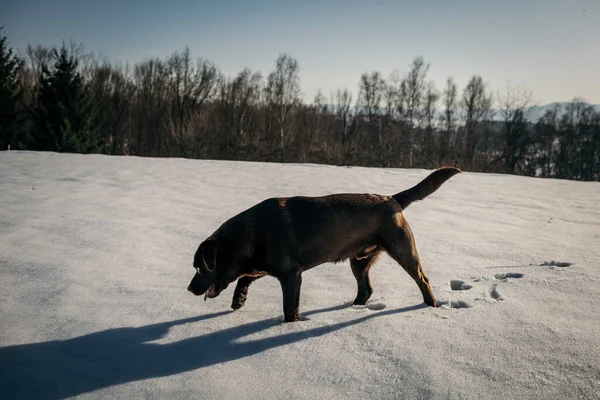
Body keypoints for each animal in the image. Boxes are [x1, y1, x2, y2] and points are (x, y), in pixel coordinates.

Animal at [188, 166, 460, 322]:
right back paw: (353, 308)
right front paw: (239, 299)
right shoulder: (264, 266)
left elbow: (290, 308)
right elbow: (245, 278)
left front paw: (289, 326)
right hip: (359, 260)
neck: (250, 237)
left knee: (422, 279)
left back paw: (429, 306)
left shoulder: (291, 274)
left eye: (200, 267)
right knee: (366, 289)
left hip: (403, 250)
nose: (190, 288)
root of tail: (390, 198)